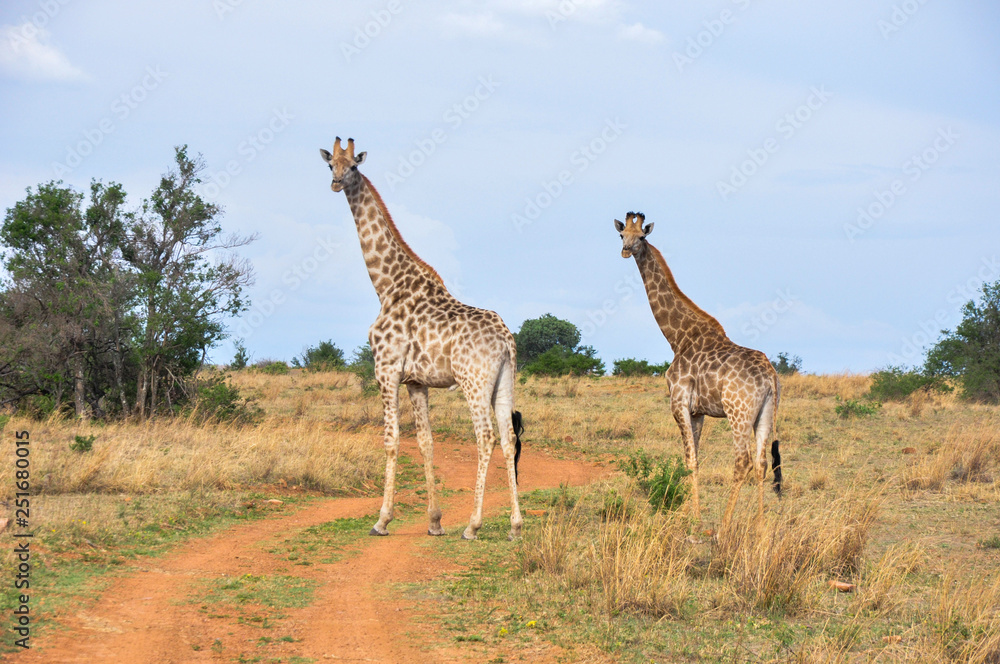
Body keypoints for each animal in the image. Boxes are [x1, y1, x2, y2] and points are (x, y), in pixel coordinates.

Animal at [320, 137, 524, 540]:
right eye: (329, 164)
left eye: (353, 165)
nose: (336, 183)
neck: (386, 285)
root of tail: (507, 340)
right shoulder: (416, 381)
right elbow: (426, 442)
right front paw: (434, 521)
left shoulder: (385, 371)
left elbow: (391, 440)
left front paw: (382, 519)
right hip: (504, 382)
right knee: (509, 440)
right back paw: (514, 525)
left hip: (473, 382)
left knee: (486, 437)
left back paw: (473, 525)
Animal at [614, 211, 782, 528]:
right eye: (621, 234)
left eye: (641, 236)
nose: (626, 251)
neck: (678, 337)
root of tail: (769, 378)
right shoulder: (698, 411)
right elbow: (696, 459)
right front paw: (694, 512)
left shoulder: (678, 402)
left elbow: (689, 459)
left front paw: (694, 517)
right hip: (766, 412)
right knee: (762, 462)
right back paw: (760, 524)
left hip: (738, 412)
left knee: (742, 460)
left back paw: (724, 525)